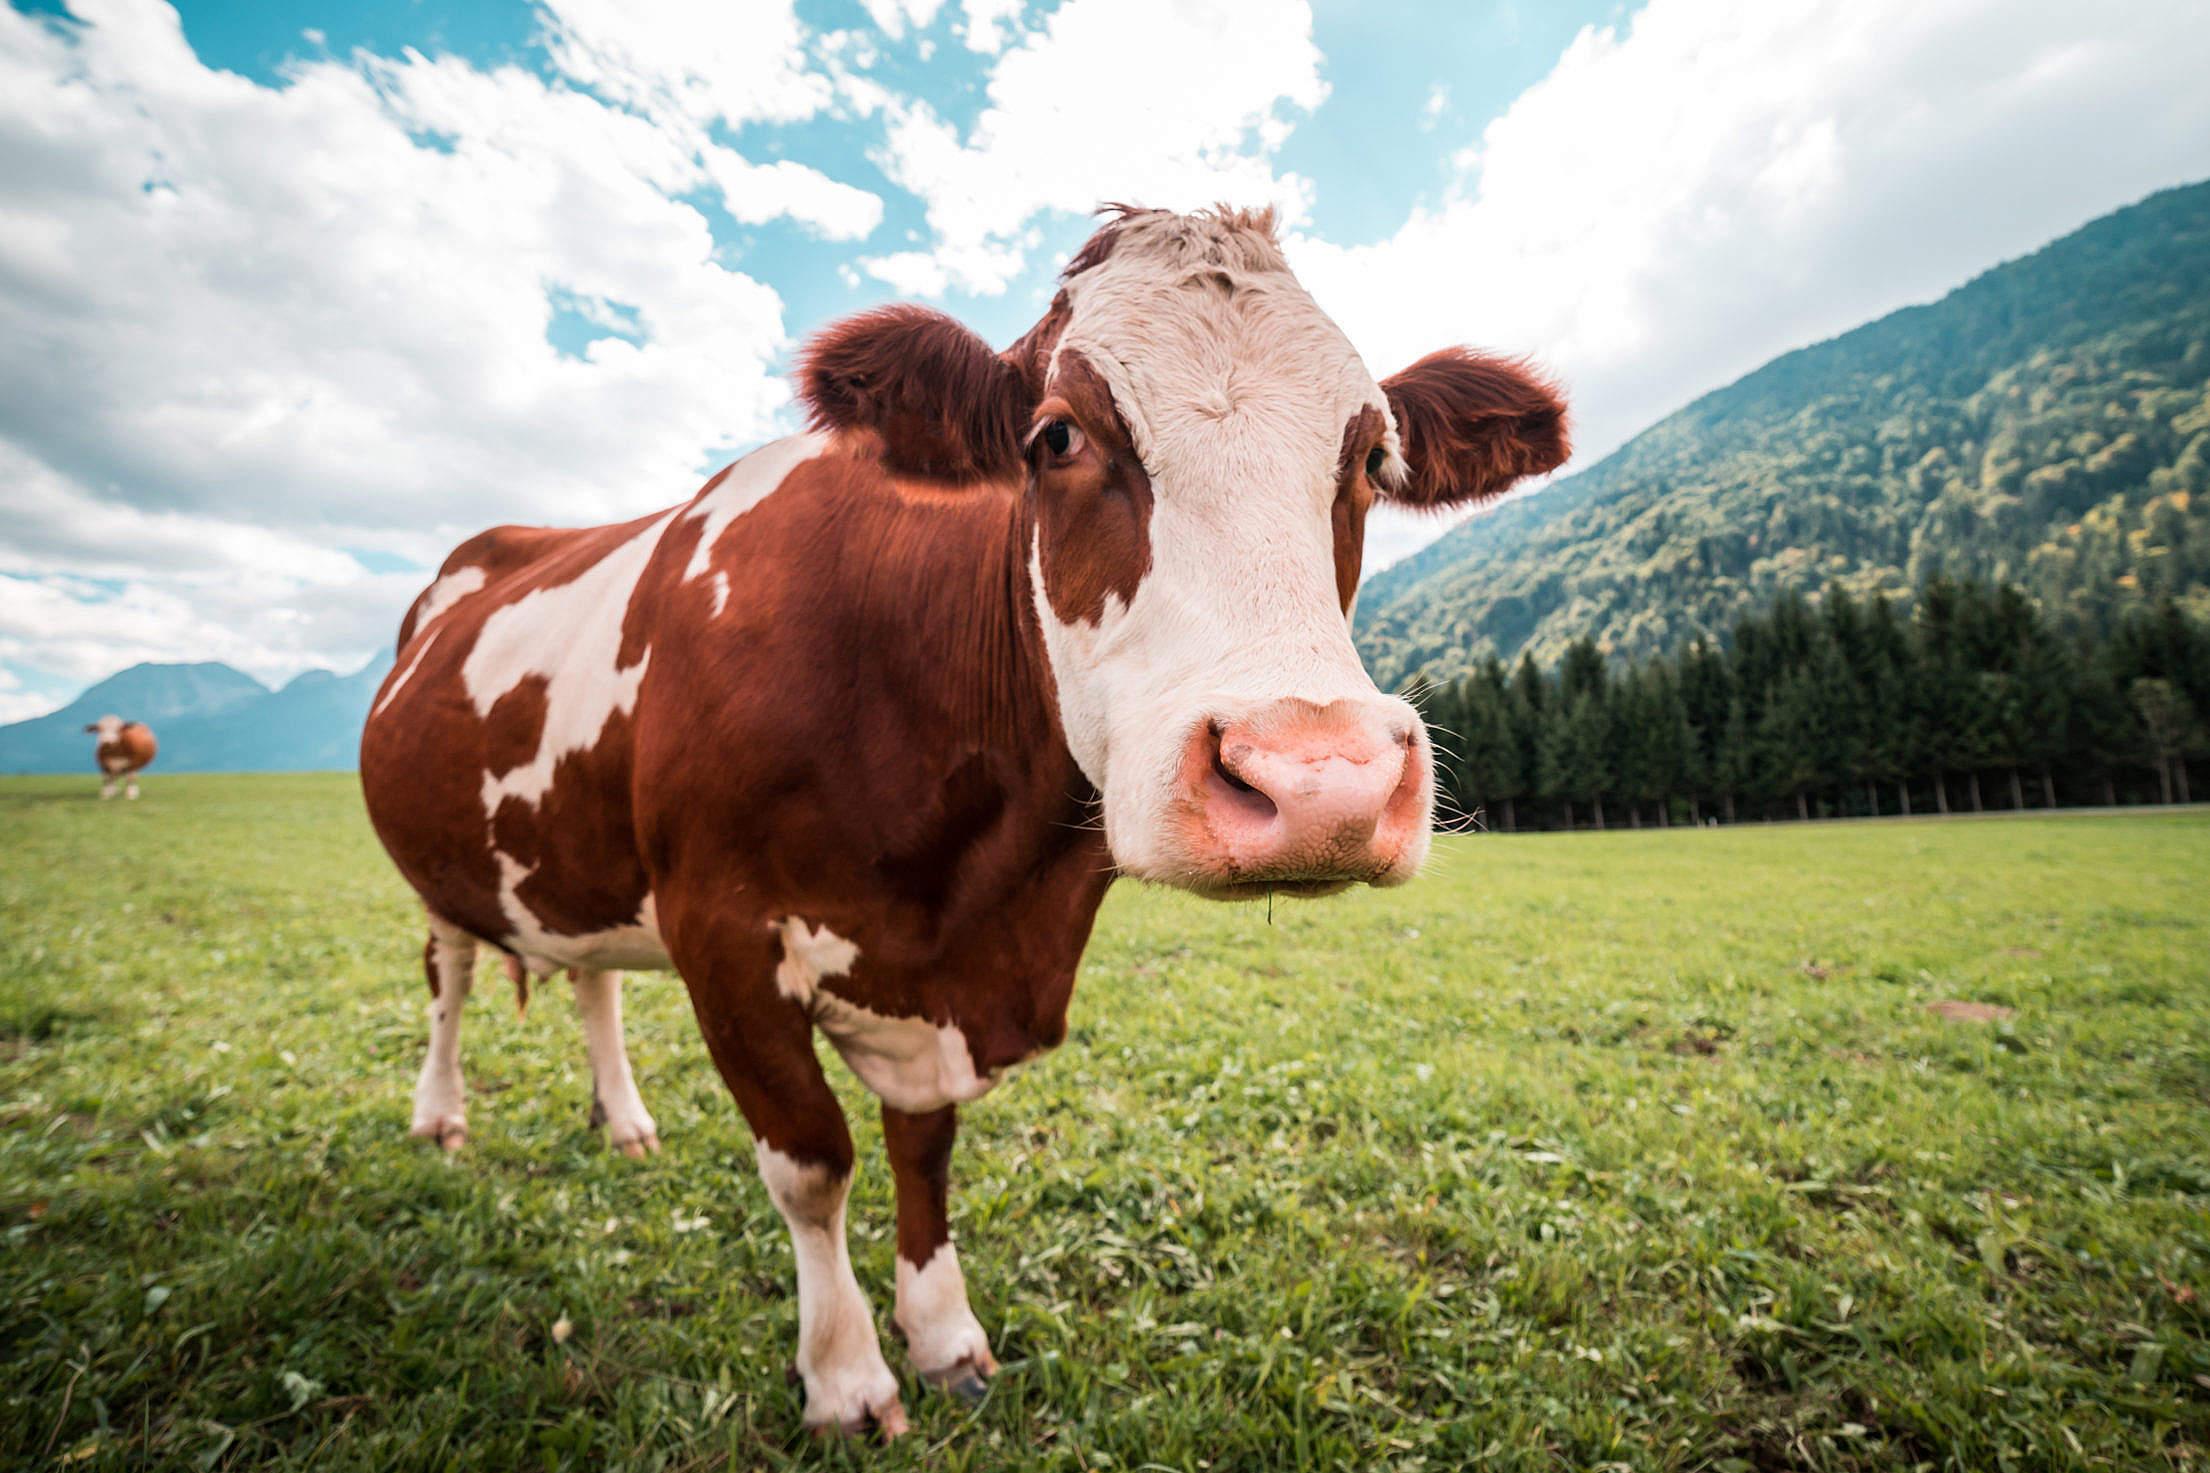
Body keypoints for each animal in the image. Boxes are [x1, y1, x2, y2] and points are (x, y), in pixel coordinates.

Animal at [360, 206, 1568, 1436]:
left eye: (1371, 460)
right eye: (1056, 437)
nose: (1320, 782)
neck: (970, 898)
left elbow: (924, 1149)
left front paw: (943, 1337)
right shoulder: (721, 933)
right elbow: (812, 1164)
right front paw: (845, 1376)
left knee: (591, 977)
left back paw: (624, 1120)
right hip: (436, 869)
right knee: (449, 978)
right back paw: (440, 1116)